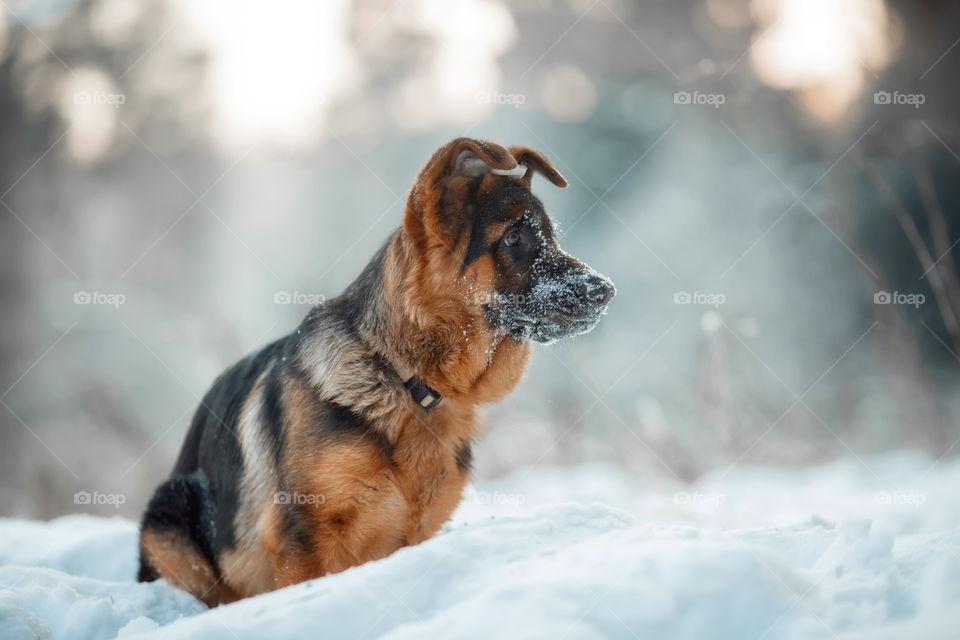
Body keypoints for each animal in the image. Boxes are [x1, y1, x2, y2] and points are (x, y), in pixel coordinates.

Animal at [137, 139, 616, 604]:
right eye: (514, 237)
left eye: (551, 237)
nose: (606, 291)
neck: (403, 378)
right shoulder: (302, 545)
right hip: (171, 508)